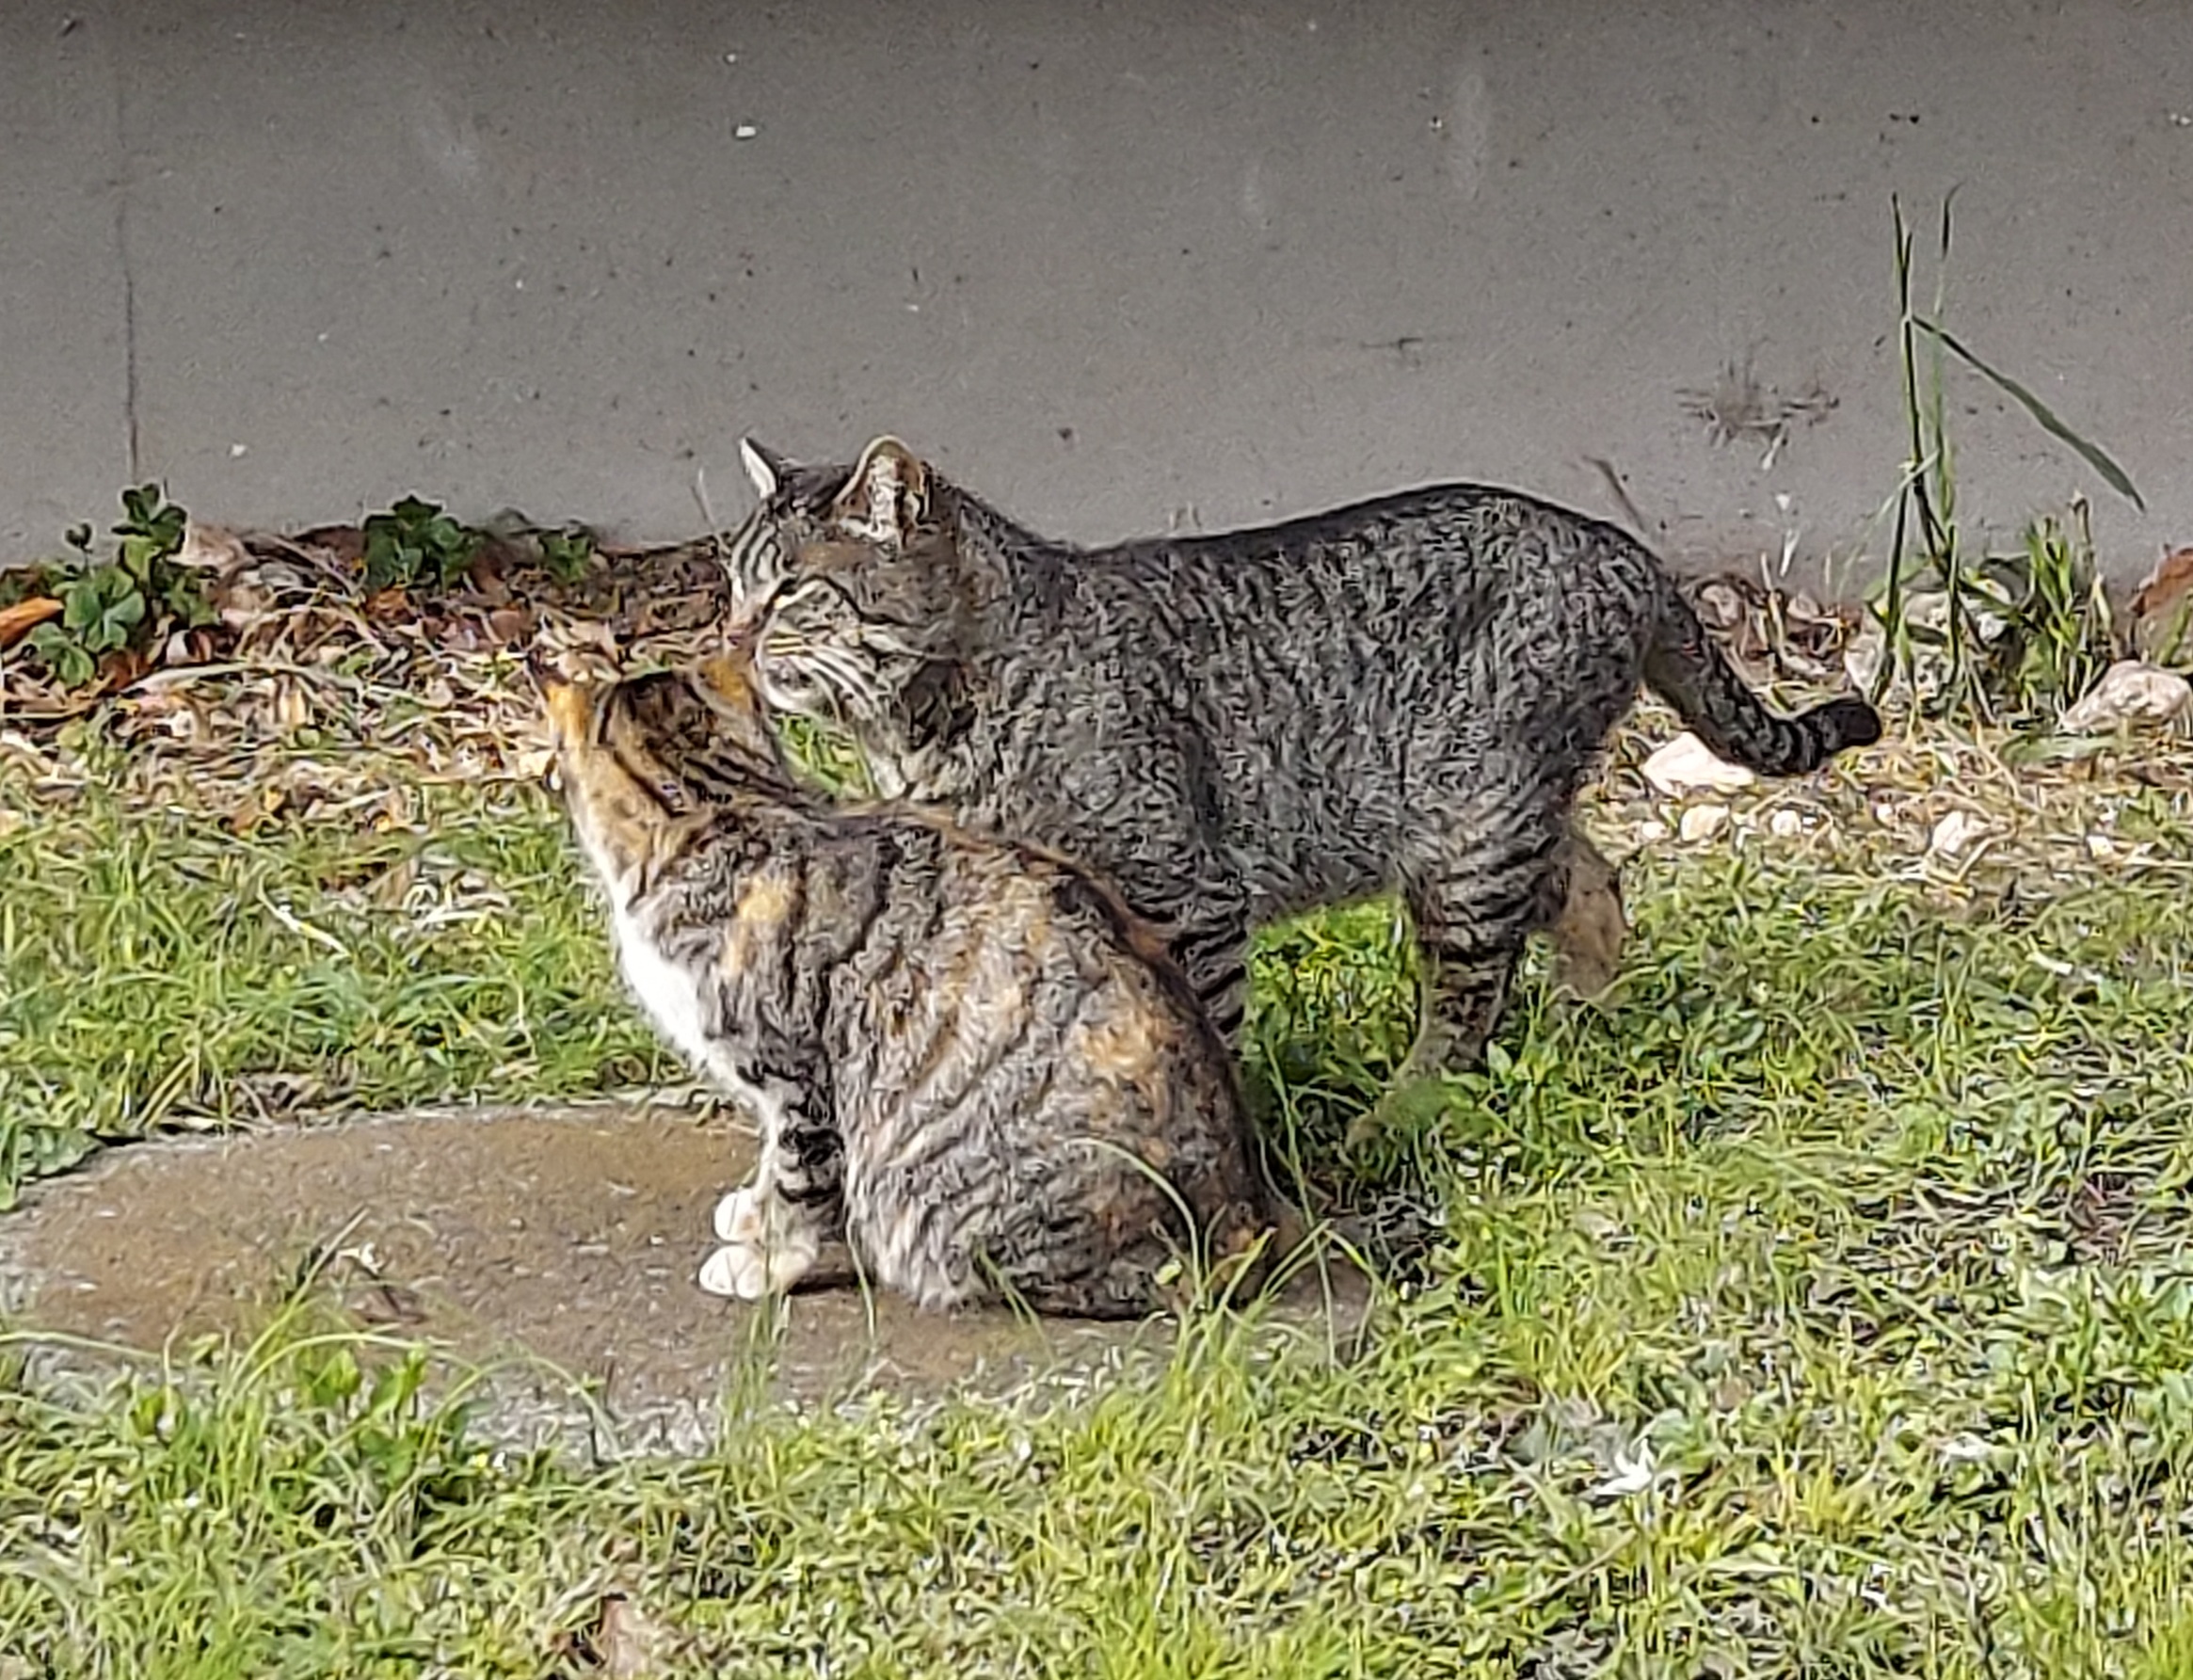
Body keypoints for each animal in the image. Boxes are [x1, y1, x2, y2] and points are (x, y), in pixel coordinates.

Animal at [531, 640, 1289, 1318]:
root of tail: (1245, 1221)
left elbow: (800, 1182)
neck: (719, 805)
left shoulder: (798, 1077)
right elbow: (772, 1165)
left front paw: (765, 1261)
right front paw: (750, 1211)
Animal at [714, 435, 1881, 1125]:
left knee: (1465, 1004)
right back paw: (1590, 1020)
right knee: (1593, 884)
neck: (925, 728)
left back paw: (1398, 1115)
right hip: (1481, 829)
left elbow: (1201, 1039)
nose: (728, 634)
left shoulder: (1186, 899)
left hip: (1468, 837)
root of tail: (1623, 547)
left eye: (793, 594)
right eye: (731, 584)